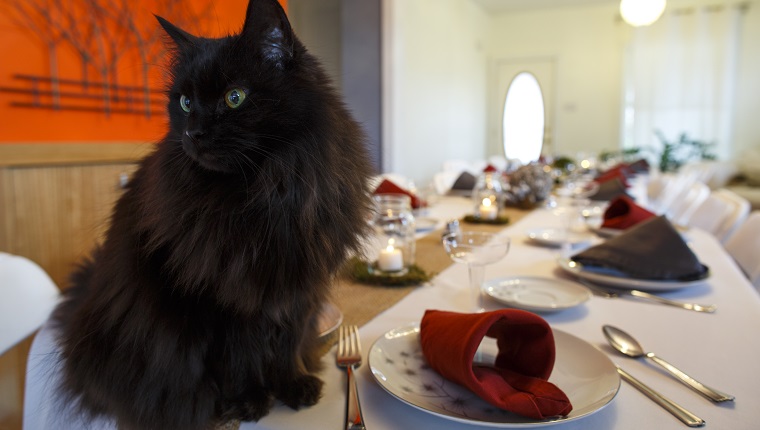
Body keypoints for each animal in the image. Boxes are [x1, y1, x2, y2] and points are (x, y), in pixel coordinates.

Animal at [52, 1, 372, 428]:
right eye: (185, 103)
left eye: (234, 97)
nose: (194, 134)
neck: (268, 194)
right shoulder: (217, 305)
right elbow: (237, 359)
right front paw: (250, 400)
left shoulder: (296, 290)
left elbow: (286, 347)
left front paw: (293, 386)